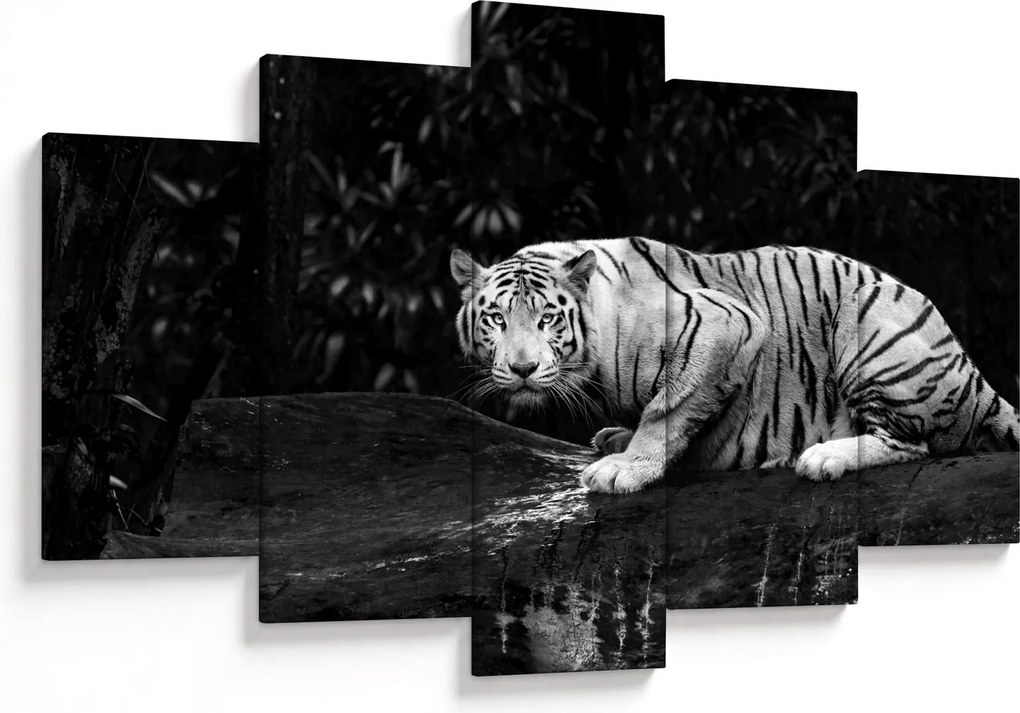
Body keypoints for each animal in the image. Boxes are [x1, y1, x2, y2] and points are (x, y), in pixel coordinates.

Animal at [450, 237, 1020, 494]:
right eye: (496, 318)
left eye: (548, 318)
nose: (523, 369)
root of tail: (973, 375)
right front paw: (617, 440)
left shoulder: (726, 324)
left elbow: (667, 408)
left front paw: (625, 467)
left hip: (869, 319)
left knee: (913, 442)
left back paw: (820, 457)